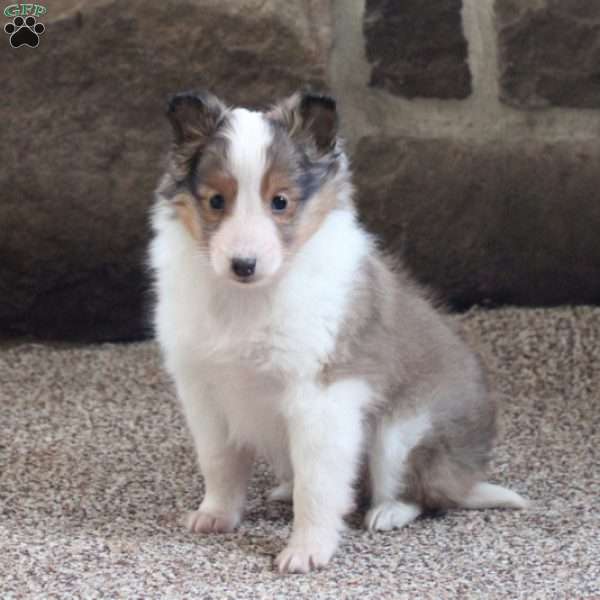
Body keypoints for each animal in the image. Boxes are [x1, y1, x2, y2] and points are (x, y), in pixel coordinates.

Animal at [151, 88, 528, 572]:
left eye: (280, 201)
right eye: (217, 201)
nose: (243, 265)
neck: (251, 297)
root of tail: (466, 477)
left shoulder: (321, 397)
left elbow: (318, 485)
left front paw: (306, 551)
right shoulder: (204, 391)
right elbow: (219, 462)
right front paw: (215, 515)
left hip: (404, 432)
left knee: (419, 492)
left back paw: (388, 512)